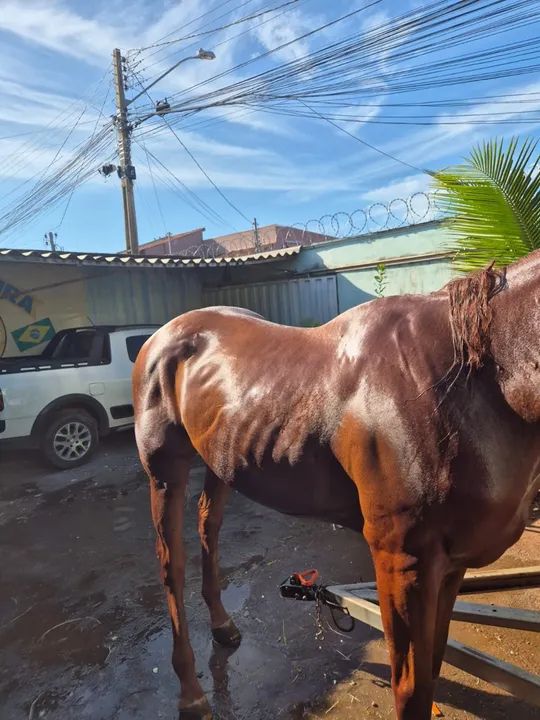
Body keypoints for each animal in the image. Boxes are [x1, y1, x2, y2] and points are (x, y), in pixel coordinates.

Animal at [132, 249, 540, 720]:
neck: (475, 383)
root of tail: (162, 336)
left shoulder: (451, 563)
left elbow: (434, 667)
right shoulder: (404, 562)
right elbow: (411, 688)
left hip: (221, 463)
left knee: (208, 531)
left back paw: (222, 625)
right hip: (164, 471)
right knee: (171, 566)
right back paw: (191, 693)